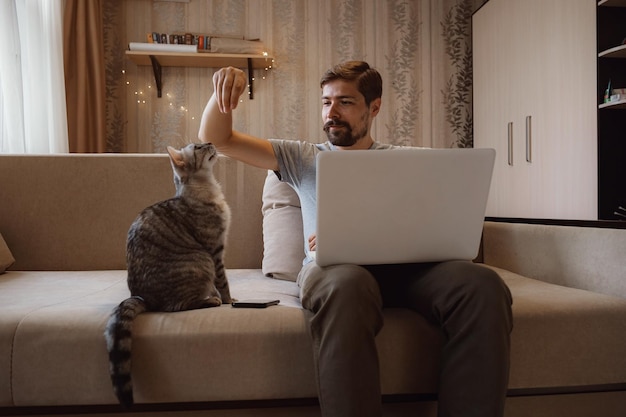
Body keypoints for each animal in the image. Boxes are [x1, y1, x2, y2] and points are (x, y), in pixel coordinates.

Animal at [105, 143, 232, 406]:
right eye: (199, 147)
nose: (210, 143)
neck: (208, 190)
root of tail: (143, 297)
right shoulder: (215, 251)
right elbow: (223, 282)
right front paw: (228, 300)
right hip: (201, 260)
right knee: (177, 306)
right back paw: (211, 301)